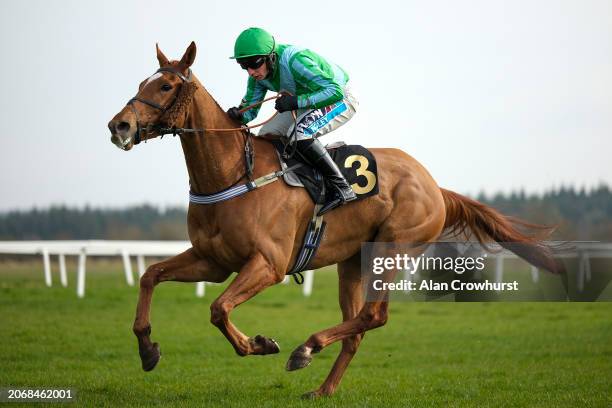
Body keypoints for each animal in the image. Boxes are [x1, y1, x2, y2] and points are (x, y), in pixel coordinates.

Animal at [109, 42, 560, 398]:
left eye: (165, 86)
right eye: (141, 83)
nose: (119, 125)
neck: (234, 173)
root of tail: (435, 186)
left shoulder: (268, 265)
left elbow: (218, 309)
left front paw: (260, 344)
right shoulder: (213, 261)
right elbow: (150, 275)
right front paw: (148, 350)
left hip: (392, 249)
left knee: (373, 316)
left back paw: (305, 349)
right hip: (352, 261)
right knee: (356, 328)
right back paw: (322, 389)